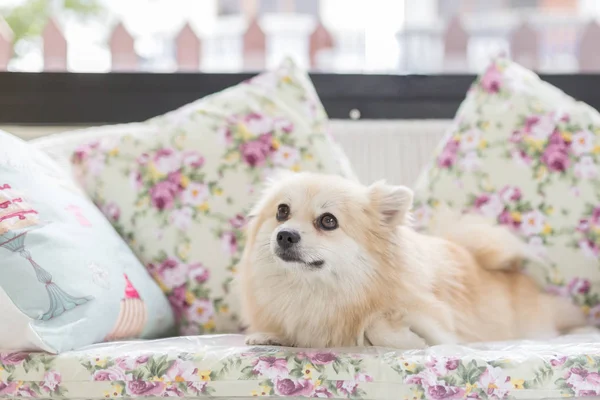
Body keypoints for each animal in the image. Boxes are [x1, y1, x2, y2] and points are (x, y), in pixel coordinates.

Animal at [237, 173, 584, 348]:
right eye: (282, 212)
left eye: (328, 221)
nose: (285, 235)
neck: (314, 289)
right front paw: (272, 335)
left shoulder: (439, 323)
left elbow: (379, 325)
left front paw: (406, 338)